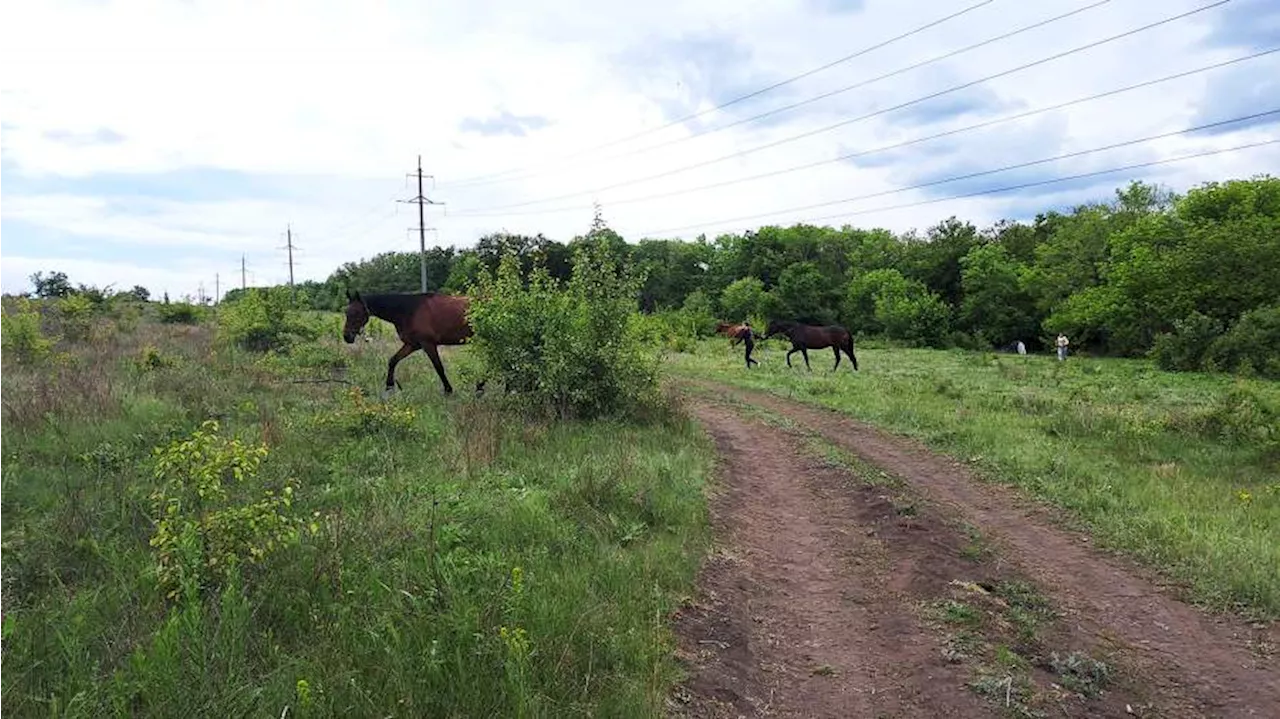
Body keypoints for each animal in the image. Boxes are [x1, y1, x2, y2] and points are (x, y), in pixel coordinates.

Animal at [340, 287, 481, 394]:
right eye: (346, 312)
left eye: (357, 312)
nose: (347, 336)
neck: (408, 311)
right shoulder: (412, 344)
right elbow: (393, 360)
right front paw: (389, 386)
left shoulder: (428, 344)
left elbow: (438, 367)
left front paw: (448, 390)